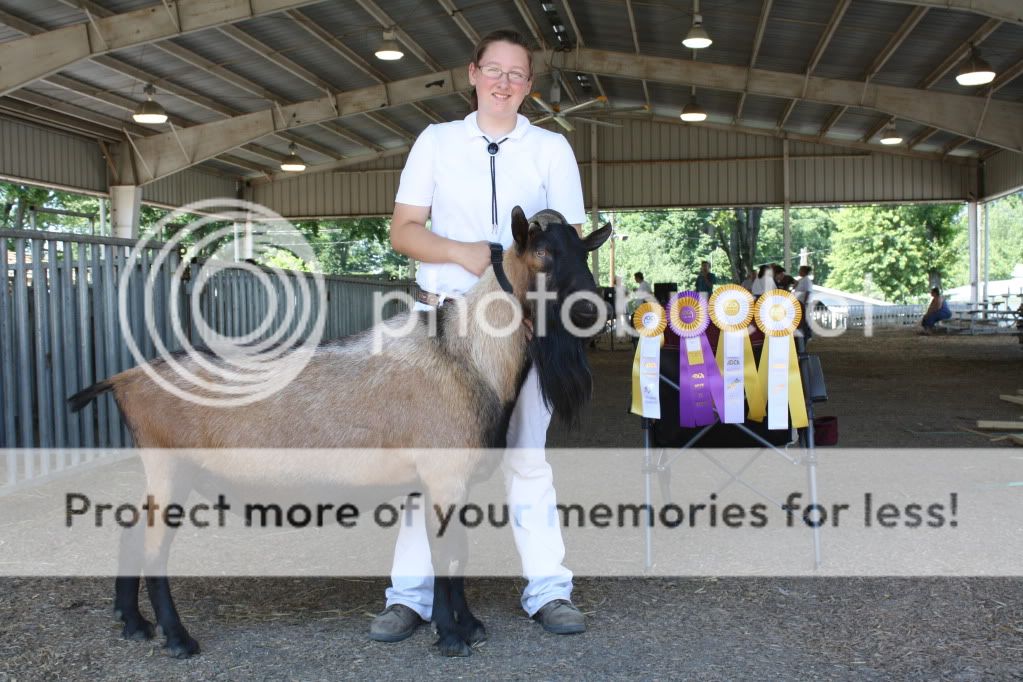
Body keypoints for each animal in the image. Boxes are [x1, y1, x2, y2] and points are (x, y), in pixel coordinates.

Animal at [69, 206, 612, 658]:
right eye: (543, 253)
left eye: (585, 252)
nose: (590, 311)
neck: (466, 356)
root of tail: (124, 379)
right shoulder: (443, 475)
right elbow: (446, 555)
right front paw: (453, 637)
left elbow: (457, 553)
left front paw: (469, 625)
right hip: (170, 466)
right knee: (154, 548)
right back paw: (177, 639)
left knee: (130, 530)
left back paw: (133, 623)